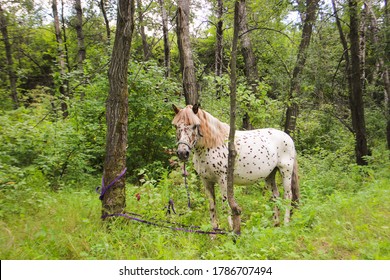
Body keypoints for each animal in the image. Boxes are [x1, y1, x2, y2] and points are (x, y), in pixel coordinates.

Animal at [172, 104, 300, 231]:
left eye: (195, 126)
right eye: (176, 126)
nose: (182, 153)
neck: (211, 144)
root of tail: (288, 138)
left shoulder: (223, 180)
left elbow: (225, 207)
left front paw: (230, 230)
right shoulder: (206, 181)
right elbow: (212, 207)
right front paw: (214, 232)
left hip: (285, 172)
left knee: (288, 196)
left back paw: (286, 224)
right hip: (270, 175)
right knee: (275, 197)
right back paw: (275, 224)